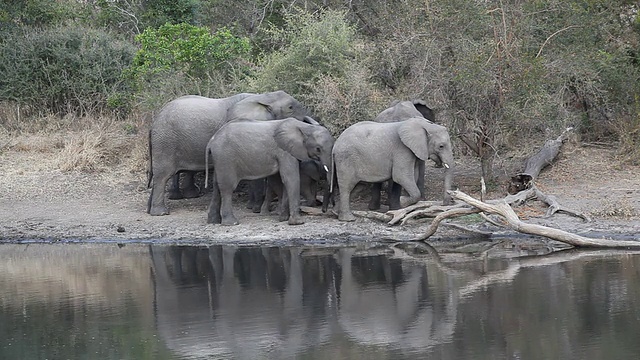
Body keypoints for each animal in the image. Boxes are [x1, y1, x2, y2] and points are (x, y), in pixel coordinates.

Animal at [148, 91, 312, 215]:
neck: (263, 97)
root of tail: (154, 121)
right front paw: (256, 208)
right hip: (166, 141)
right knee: (163, 174)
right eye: (290, 107)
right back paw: (161, 212)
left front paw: (252, 206)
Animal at [205, 118, 336, 225]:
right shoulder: (284, 151)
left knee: (217, 186)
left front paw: (283, 218)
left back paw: (213, 221)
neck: (304, 127)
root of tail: (211, 141)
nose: (324, 211)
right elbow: (291, 178)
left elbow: (284, 181)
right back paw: (231, 223)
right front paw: (297, 223)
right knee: (227, 187)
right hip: (225, 157)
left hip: (220, 159)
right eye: (318, 149)